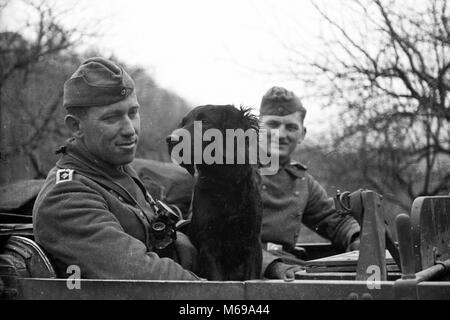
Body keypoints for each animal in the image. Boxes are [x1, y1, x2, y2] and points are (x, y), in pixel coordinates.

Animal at [167, 105, 262, 280]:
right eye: (183, 122)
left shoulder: (253, 241)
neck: (225, 185)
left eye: (205, 121)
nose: (171, 139)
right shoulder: (209, 244)